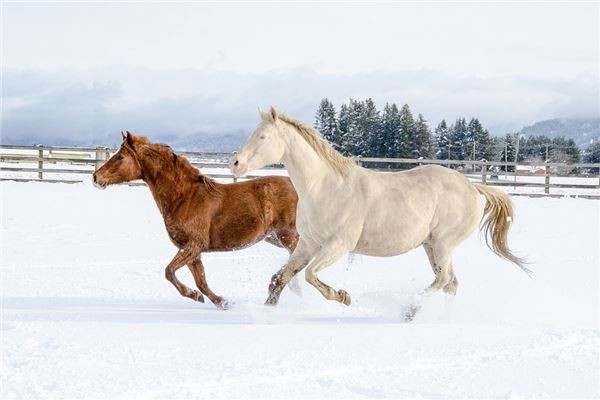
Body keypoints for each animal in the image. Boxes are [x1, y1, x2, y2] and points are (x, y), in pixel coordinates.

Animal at [93, 132, 298, 310]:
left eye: (120, 157)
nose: (96, 177)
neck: (185, 197)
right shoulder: (193, 251)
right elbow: (201, 282)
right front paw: (221, 302)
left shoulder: (193, 245)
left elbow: (169, 271)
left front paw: (196, 295)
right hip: (273, 237)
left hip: (287, 235)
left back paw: (275, 287)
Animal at [231, 106, 528, 306]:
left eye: (263, 137)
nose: (235, 163)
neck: (325, 188)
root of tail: (473, 187)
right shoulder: (308, 243)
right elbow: (283, 277)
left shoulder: (339, 245)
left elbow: (310, 275)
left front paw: (342, 296)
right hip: (431, 245)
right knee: (450, 282)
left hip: (444, 244)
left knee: (444, 280)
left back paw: (411, 310)